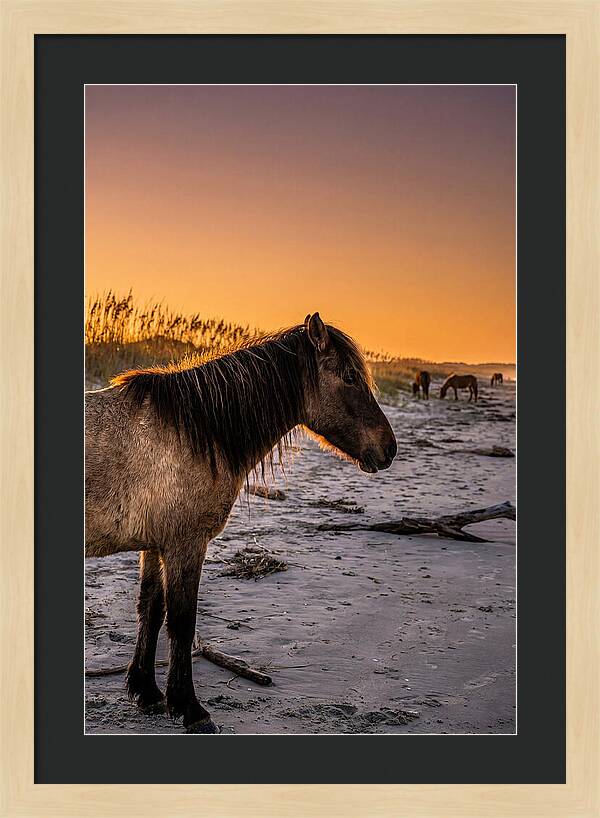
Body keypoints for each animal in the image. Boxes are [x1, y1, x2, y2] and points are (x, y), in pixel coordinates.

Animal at [85, 313, 397, 733]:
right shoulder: (186, 545)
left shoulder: (156, 545)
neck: (196, 431)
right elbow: (182, 621)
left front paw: (146, 691)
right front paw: (190, 708)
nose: (389, 448)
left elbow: (151, 608)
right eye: (349, 377)